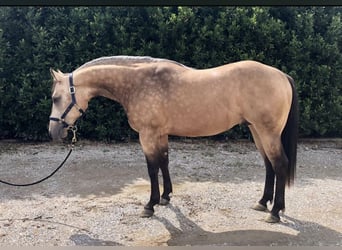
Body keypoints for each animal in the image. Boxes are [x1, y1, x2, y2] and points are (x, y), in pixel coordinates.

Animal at [49, 56, 298, 223]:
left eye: (55, 97)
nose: (53, 132)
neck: (138, 82)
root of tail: (281, 75)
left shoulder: (147, 135)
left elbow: (152, 168)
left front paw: (149, 205)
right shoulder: (160, 134)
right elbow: (164, 162)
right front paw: (165, 197)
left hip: (268, 132)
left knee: (279, 164)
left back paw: (275, 212)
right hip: (257, 131)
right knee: (269, 165)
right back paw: (263, 202)